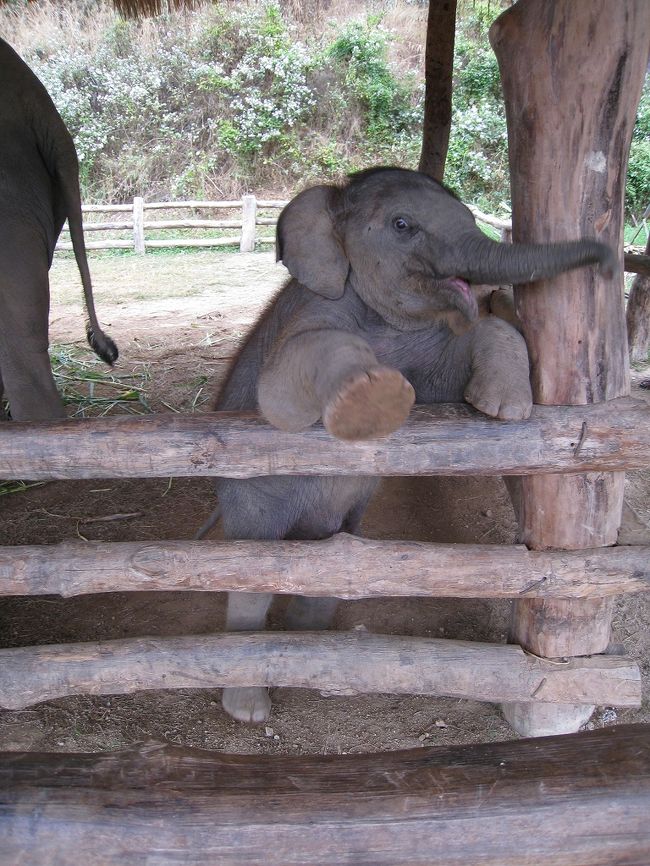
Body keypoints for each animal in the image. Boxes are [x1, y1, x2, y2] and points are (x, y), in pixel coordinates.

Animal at [204, 164, 616, 724]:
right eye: (403, 225)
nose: (611, 260)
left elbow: (463, 366)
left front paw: (505, 408)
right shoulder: (310, 315)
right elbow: (282, 396)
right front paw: (372, 394)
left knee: (325, 567)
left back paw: (313, 651)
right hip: (249, 499)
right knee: (254, 576)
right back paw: (248, 708)